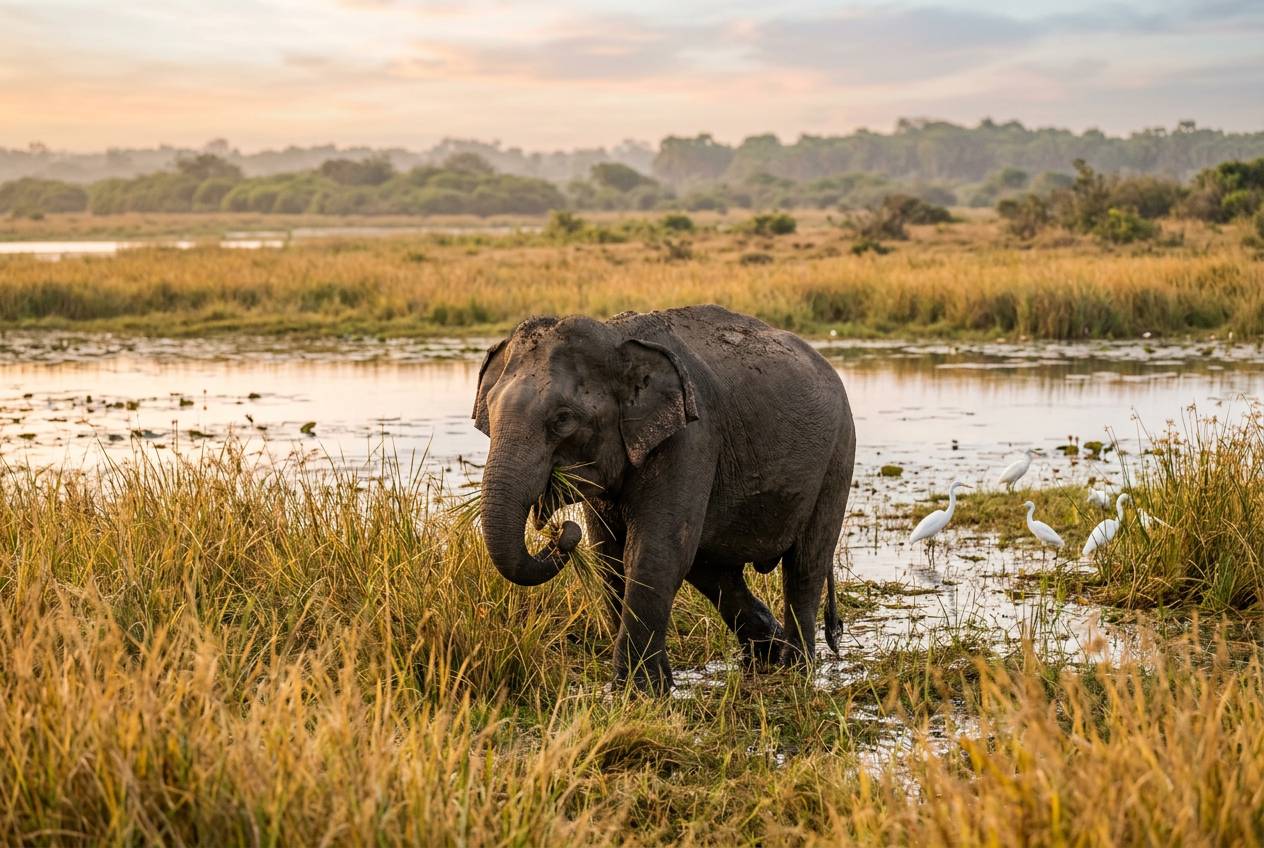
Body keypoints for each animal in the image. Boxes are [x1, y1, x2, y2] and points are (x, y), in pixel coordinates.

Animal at [472, 304, 857, 692]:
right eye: (489, 410)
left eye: (563, 419)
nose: (560, 531)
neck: (615, 337)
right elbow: (608, 556)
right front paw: (642, 686)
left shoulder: (691, 438)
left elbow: (655, 551)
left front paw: (638, 690)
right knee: (714, 571)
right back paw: (766, 655)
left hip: (838, 456)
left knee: (805, 564)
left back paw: (795, 668)